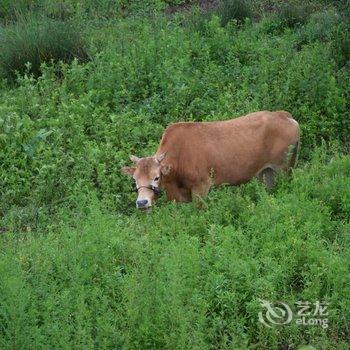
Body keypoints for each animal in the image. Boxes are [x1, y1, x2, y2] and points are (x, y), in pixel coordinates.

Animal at [121, 111, 300, 211]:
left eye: (156, 177)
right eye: (135, 179)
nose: (142, 202)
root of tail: (282, 114)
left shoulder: (201, 187)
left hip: (285, 169)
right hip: (266, 172)